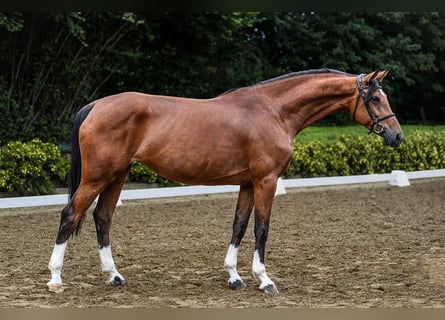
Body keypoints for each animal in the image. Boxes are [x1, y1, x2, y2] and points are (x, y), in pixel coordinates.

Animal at [47, 69, 402, 294]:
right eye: (375, 99)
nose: (397, 136)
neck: (273, 111)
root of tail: (95, 105)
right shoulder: (266, 181)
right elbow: (261, 228)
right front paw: (264, 280)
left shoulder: (248, 183)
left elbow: (239, 225)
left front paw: (234, 277)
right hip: (98, 176)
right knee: (70, 215)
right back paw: (55, 279)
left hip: (117, 175)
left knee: (102, 217)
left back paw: (114, 276)